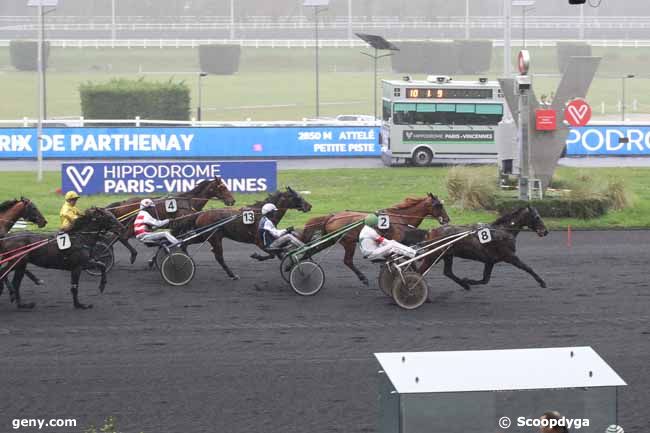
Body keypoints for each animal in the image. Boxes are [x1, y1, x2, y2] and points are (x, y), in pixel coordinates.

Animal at [106, 176, 235, 264]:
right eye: (223, 187)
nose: (232, 201)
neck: (189, 202)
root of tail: (123, 203)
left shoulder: (184, 227)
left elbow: (176, 242)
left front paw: (154, 260)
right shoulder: (178, 226)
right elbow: (174, 241)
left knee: (118, 237)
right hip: (130, 225)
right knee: (122, 237)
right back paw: (132, 254)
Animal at [170, 186, 312, 280]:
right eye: (297, 197)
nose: (309, 206)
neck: (262, 214)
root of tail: (201, 213)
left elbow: (279, 253)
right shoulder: (259, 241)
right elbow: (273, 254)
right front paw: (257, 256)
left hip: (203, 235)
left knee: (185, 244)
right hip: (214, 237)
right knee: (218, 256)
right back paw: (232, 274)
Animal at [300, 194, 448, 286]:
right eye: (438, 206)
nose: (447, 219)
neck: (400, 218)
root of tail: (332, 217)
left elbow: (405, 257)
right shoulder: (395, 241)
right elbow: (404, 258)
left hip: (333, 239)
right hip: (348, 242)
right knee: (347, 261)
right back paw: (363, 278)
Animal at [416, 205, 548, 290]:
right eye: (537, 217)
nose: (545, 231)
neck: (503, 231)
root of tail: (431, 231)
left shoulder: (490, 261)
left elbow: (485, 279)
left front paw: (467, 280)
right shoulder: (510, 256)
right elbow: (528, 268)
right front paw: (542, 282)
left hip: (447, 255)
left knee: (448, 272)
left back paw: (465, 285)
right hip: (434, 256)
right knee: (419, 272)